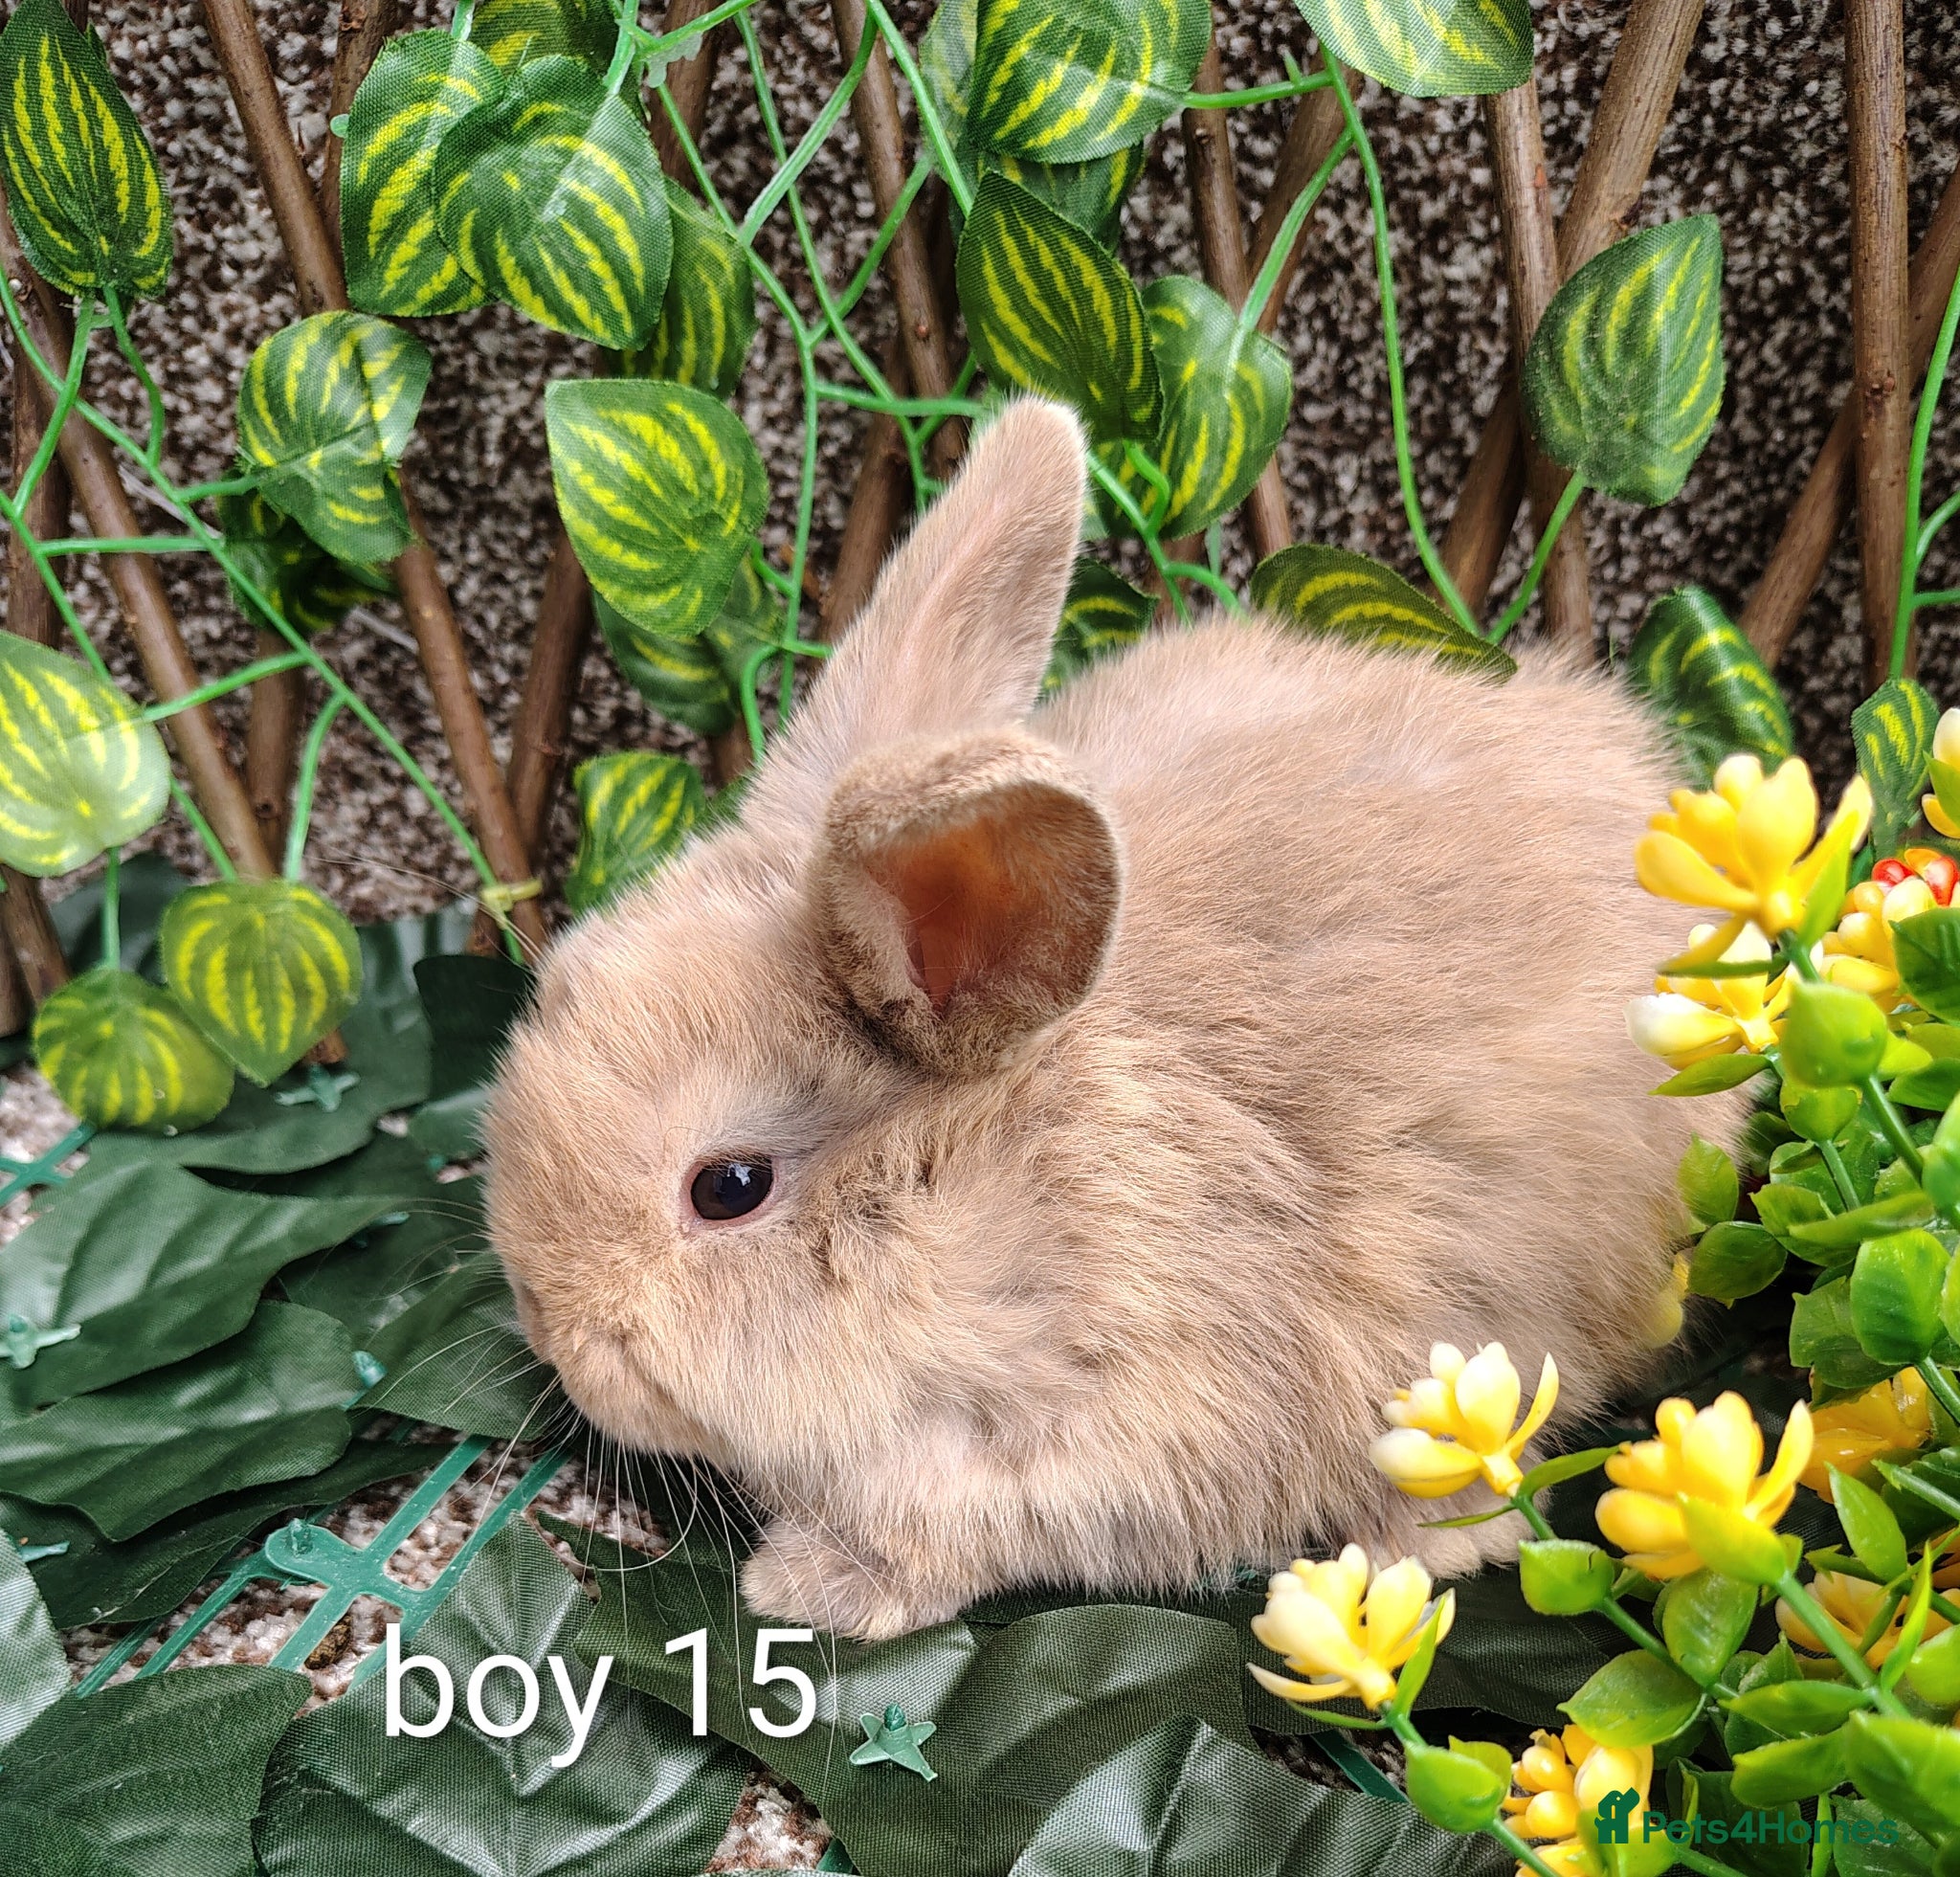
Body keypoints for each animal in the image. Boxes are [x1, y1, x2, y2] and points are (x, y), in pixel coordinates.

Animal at [487, 396, 1722, 1642]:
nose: (549, 1326)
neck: (1010, 1191)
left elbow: (957, 1532)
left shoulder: (1115, 1440)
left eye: (729, 1187)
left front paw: (805, 1582)